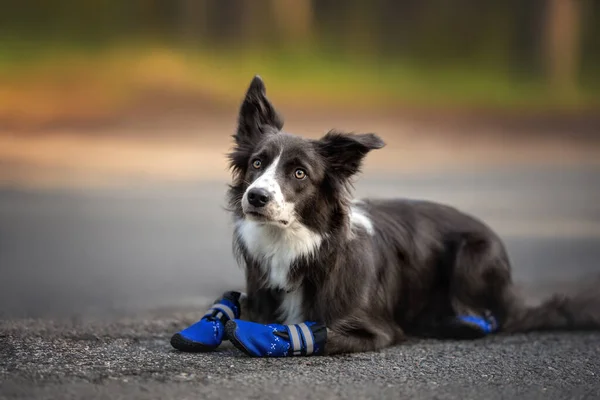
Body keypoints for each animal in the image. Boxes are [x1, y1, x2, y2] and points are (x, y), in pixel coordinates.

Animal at [169, 76, 600, 358]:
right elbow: (235, 304)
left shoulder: (374, 329)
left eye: (300, 173)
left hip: (474, 255)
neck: (297, 244)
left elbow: (322, 333)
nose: (255, 197)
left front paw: (265, 336)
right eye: (257, 163)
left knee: (489, 317)